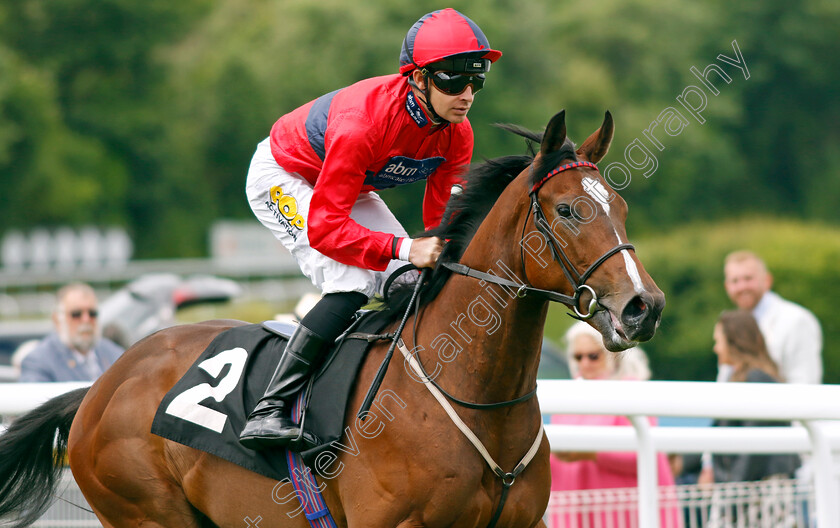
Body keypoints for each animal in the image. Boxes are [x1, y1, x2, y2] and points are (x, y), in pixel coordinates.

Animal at [3, 109, 668, 524]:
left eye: (621, 206)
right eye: (569, 210)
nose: (644, 306)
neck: (472, 391)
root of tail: (100, 386)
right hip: (148, 511)